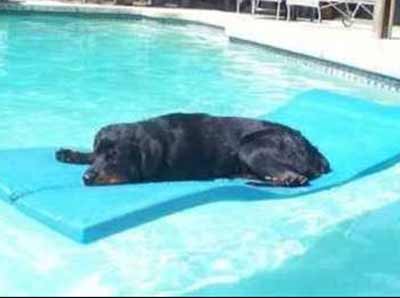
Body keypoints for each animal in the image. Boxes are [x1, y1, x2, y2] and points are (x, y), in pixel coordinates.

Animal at [56, 113, 332, 186]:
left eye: (114, 157)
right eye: (99, 153)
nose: (86, 178)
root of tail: (316, 153)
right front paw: (70, 154)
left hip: (252, 147)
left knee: (295, 177)